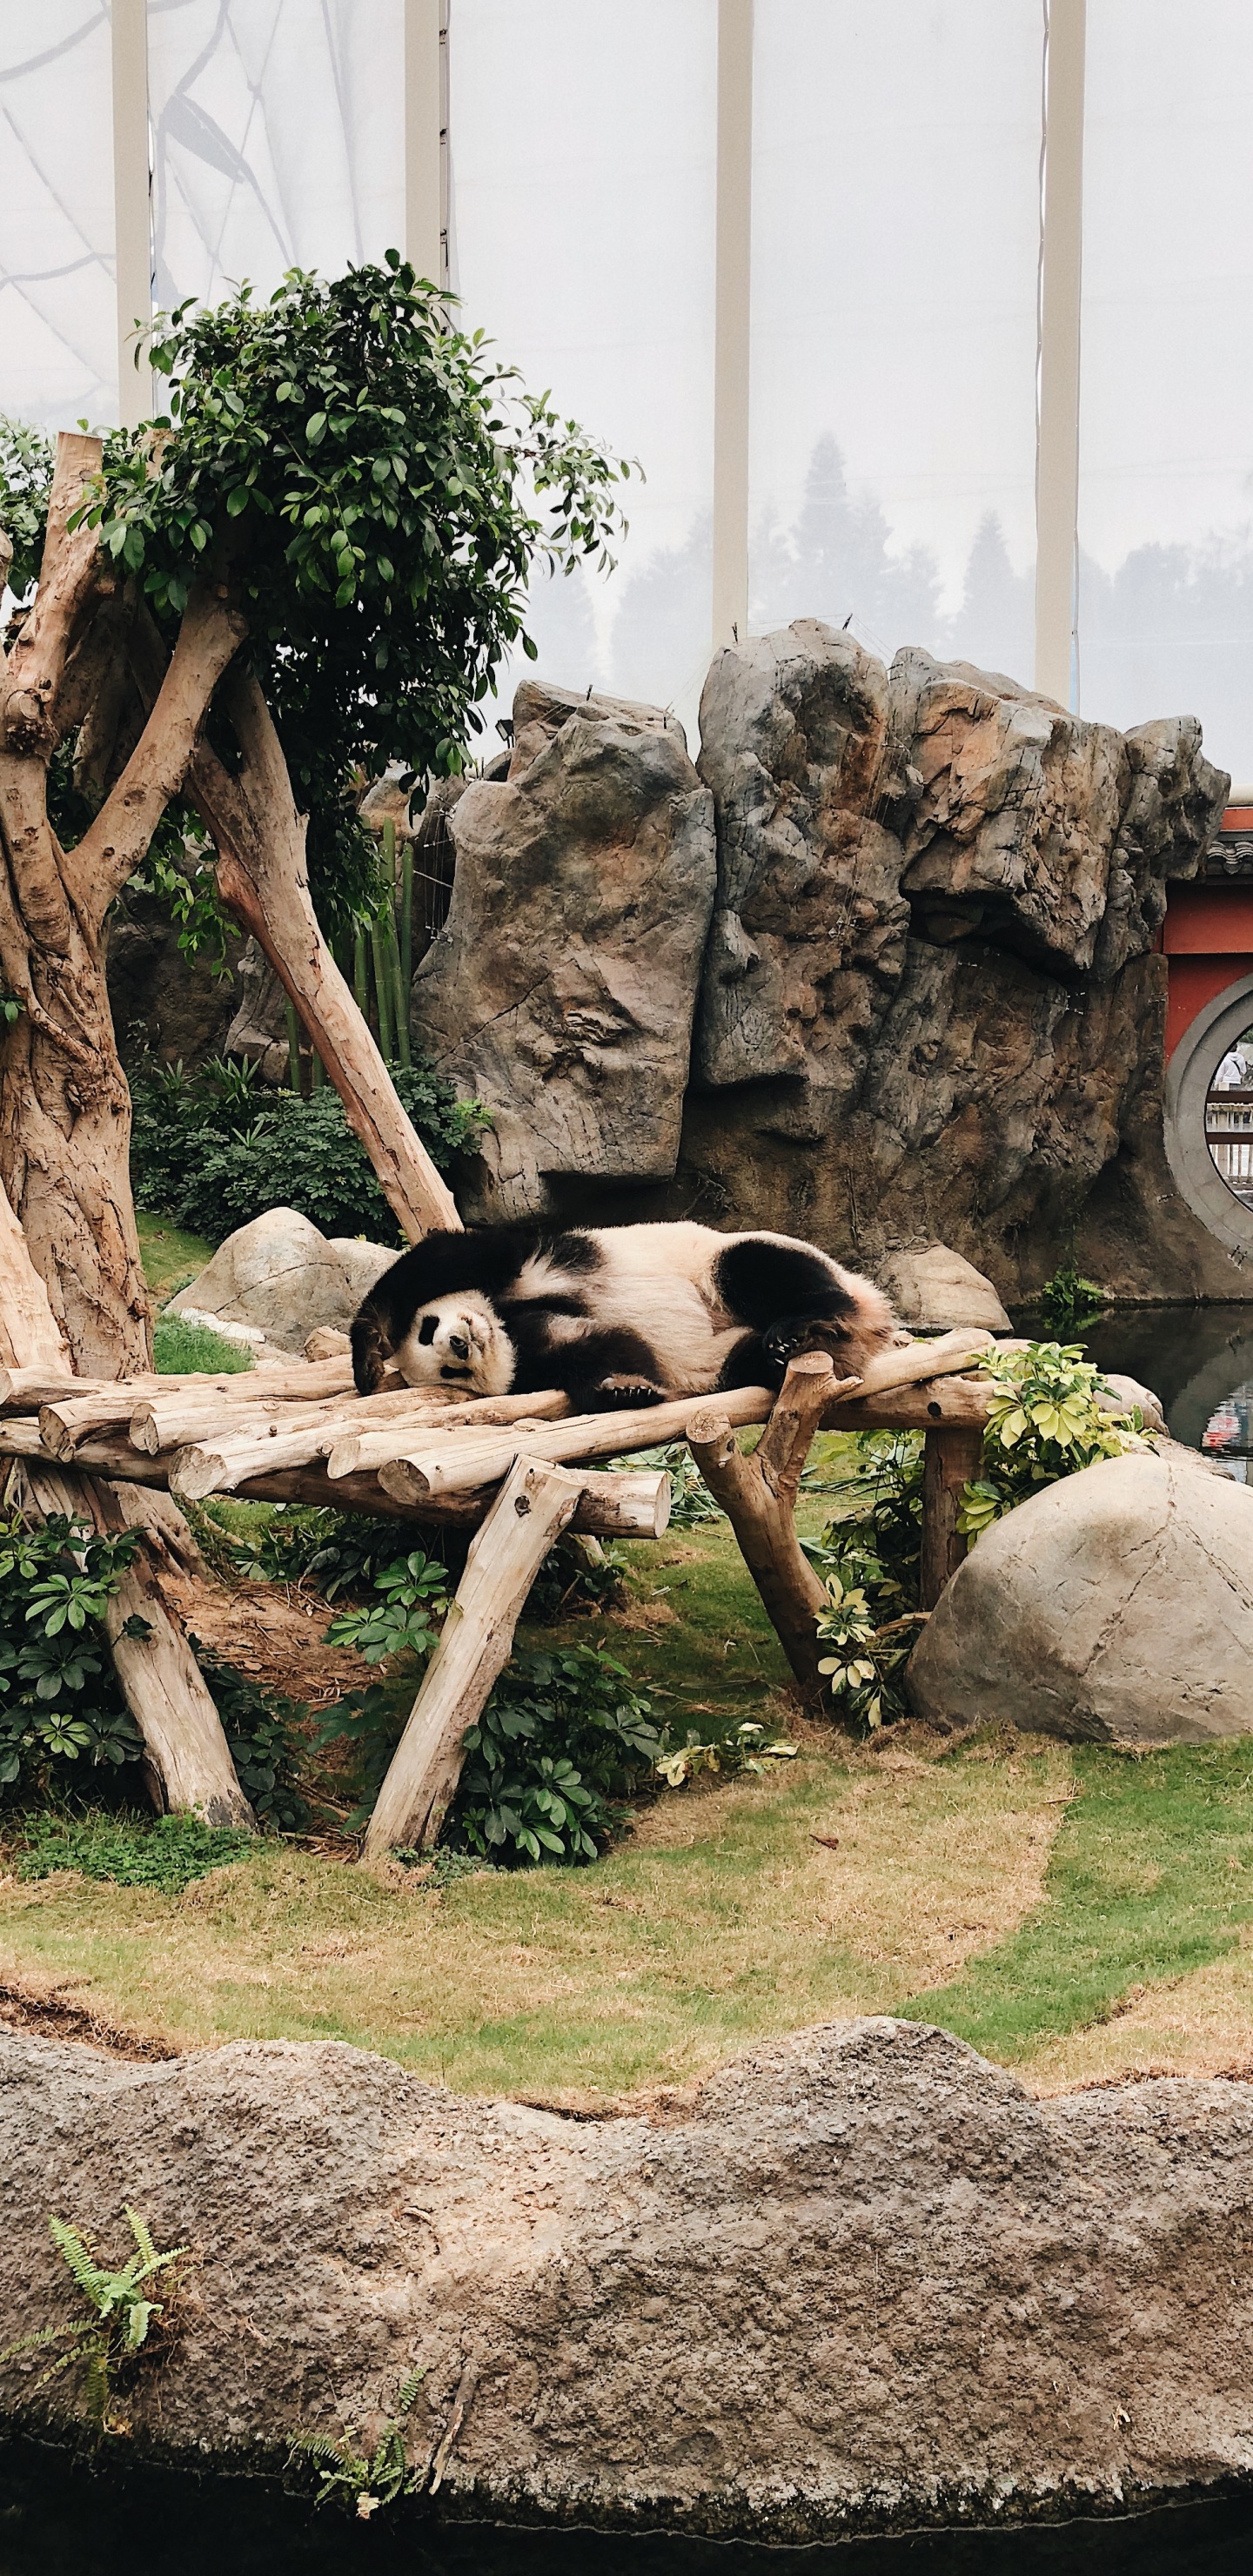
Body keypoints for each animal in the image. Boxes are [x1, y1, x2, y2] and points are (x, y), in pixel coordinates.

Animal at [351, 1220, 897, 1410]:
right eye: (449, 1373)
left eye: (429, 1329)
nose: (460, 1344)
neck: (502, 1322)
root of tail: (869, 1329)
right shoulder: (532, 1354)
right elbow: (602, 1346)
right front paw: (626, 1390)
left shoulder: (527, 1263)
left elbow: (443, 1259)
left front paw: (369, 1356)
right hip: (726, 1357)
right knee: (744, 1362)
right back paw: (785, 1352)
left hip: (717, 1259)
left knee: (755, 1268)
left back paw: (800, 1324)